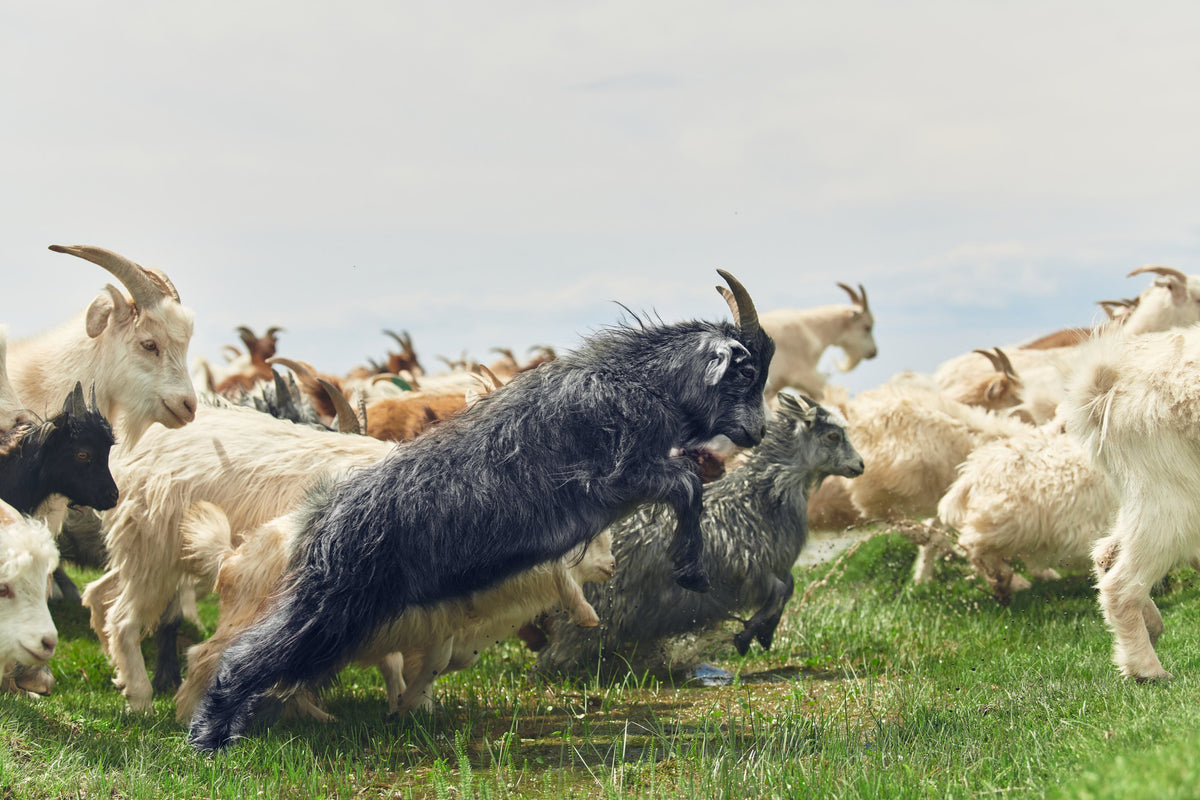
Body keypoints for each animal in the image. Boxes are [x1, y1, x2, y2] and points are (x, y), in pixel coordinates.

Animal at [186, 270, 774, 751]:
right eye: (744, 373)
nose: (758, 433)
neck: (639, 381)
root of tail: (318, 521)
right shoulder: (615, 476)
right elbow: (687, 484)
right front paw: (690, 568)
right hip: (334, 605)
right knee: (250, 651)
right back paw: (210, 736)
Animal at [535, 391, 863, 680]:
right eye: (833, 436)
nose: (860, 465)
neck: (757, 500)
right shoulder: (748, 571)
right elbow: (781, 591)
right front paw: (748, 635)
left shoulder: (769, 567)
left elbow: (789, 587)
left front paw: (764, 634)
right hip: (595, 611)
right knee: (561, 654)